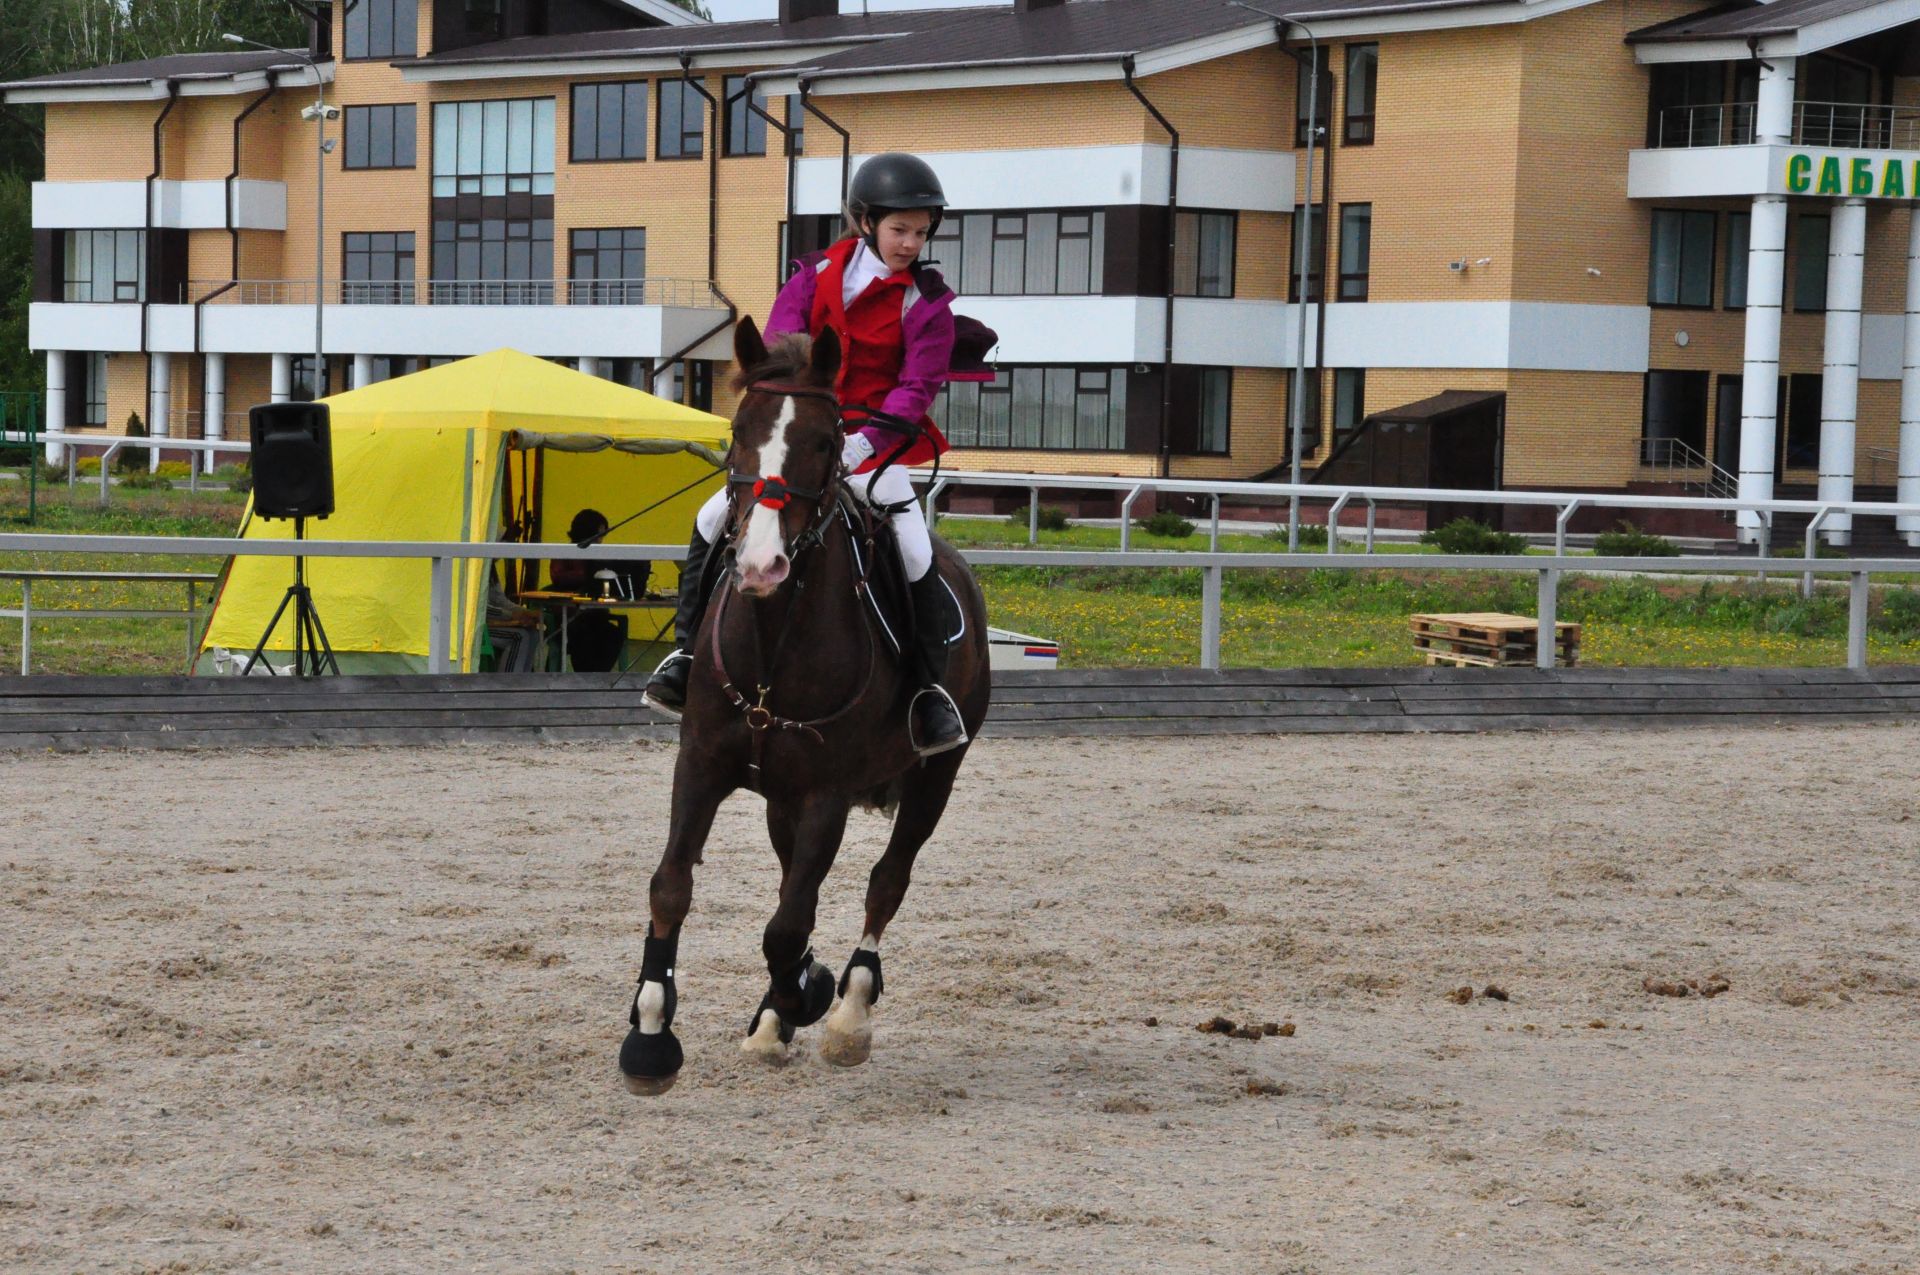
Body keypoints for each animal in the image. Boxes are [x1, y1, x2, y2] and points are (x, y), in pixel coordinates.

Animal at [622, 318, 998, 1098]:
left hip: (933, 780)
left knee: (885, 883)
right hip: (779, 799)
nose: (761, 566)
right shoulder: (702, 763)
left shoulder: (828, 792)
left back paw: (844, 1011)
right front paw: (650, 1034)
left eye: (828, 440)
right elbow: (673, 887)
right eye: (738, 431)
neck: (775, 637)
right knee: (796, 881)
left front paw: (811, 995)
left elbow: (788, 927)